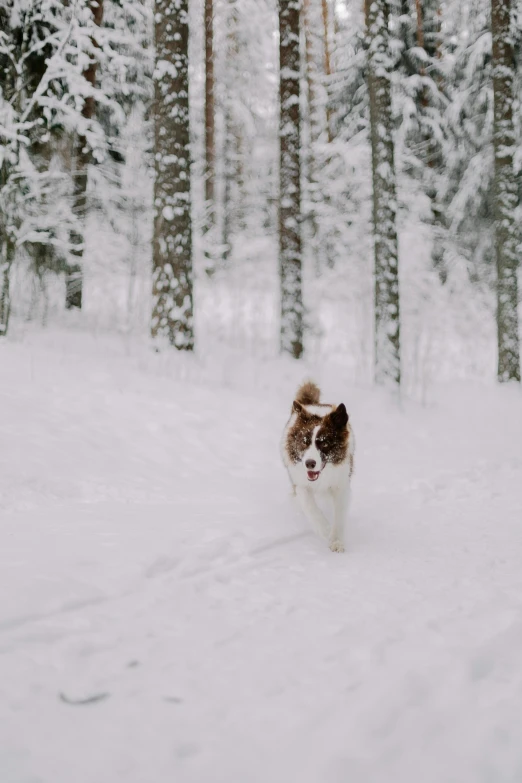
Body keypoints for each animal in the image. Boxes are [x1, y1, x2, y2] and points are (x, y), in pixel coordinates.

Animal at [280, 382, 354, 556]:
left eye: (325, 443)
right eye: (304, 441)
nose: (309, 463)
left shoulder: (341, 485)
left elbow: (339, 515)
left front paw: (336, 541)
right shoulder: (300, 484)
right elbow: (310, 506)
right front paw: (325, 529)